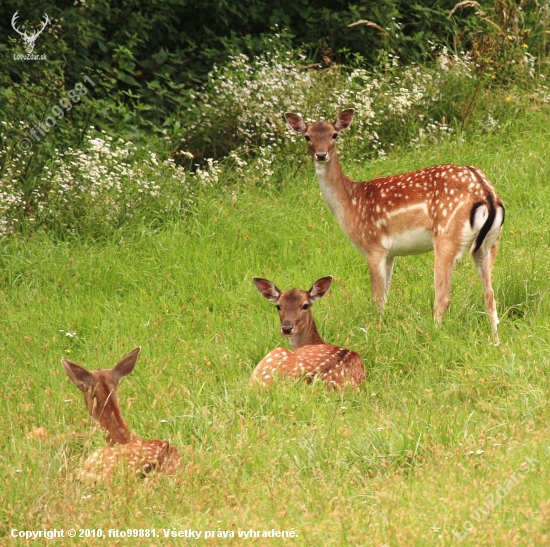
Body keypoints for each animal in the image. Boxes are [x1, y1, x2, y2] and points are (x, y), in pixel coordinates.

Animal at [286, 109, 506, 342]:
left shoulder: (373, 246)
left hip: (446, 236)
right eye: (307, 136)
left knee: (443, 297)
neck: (348, 203)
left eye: (334, 134)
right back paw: (495, 341)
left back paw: (434, 335)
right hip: (489, 244)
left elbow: (376, 300)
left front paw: (375, 332)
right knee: (490, 294)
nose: (321, 155)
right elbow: (385, 297)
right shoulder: (391, 253)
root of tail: (487, 194)